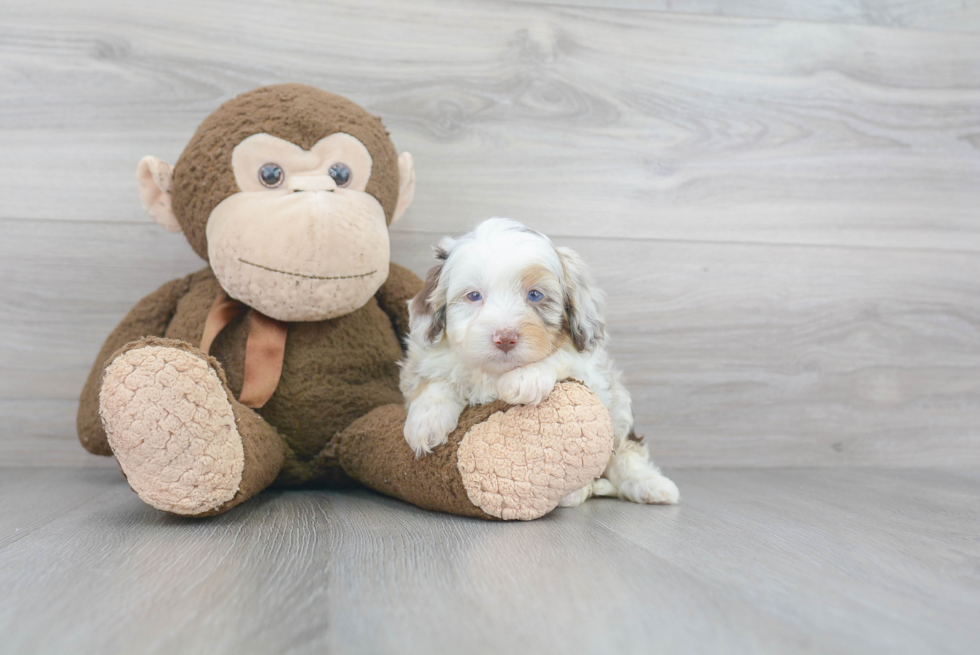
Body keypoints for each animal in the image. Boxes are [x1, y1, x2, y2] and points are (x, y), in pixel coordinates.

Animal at [402, 219, 676, 508]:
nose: (505, 338)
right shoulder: (425, 357)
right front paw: (426, 422)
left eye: (534, 295)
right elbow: (436, 378)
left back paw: (650, 485)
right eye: (474, 296)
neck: (493, 373)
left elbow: (560, 357)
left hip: (619, 405)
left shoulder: (588, 367)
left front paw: (524, 379)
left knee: (625, 451)